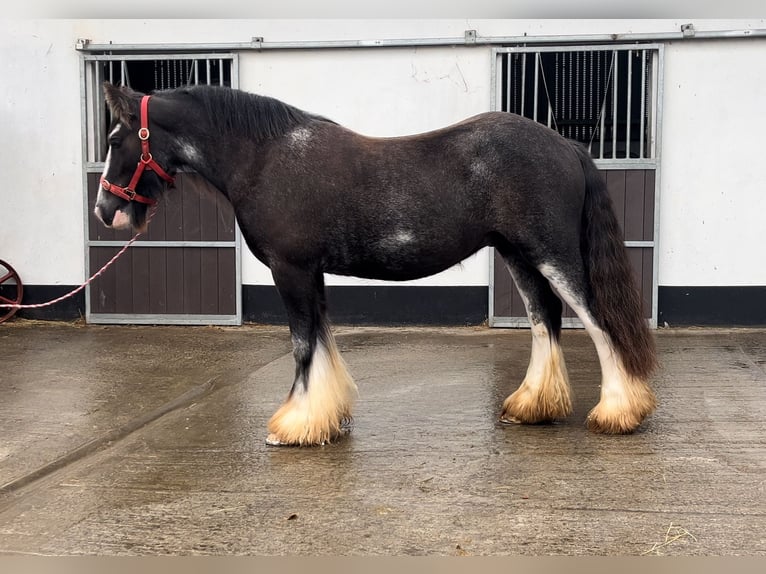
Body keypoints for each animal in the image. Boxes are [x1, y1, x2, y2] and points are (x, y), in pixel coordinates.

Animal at [95, 82, 658, 446]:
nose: (105, 211)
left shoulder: (290, 268)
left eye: (114, 140)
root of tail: (568, 145)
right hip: (519, 255)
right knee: (546, 320)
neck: (265, 158)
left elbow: (303, 343)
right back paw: (531, 407)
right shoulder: (311, 272)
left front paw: (293, 426)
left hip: (553, 254)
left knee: (599, 322)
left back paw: (617, 413)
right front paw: (327, 417)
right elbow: (322, 338)